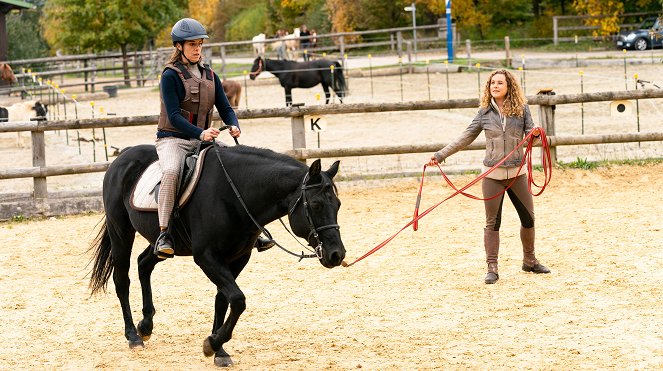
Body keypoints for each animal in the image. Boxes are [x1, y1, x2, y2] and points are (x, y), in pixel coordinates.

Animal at [88, 144, 348, 368]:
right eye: (315, 205)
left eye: (338, 204)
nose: (337, 254)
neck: (235, 194)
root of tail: (123, 157)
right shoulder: (207, 257)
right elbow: (238, 299)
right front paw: (211, 343)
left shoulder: (238, 257)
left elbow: (224, 299)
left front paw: (219, 350)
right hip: (121, 232)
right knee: (122, 280)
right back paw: (133, 335)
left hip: (162, 245)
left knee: (144, 264)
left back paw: (146, 326)